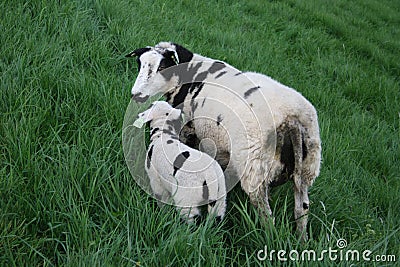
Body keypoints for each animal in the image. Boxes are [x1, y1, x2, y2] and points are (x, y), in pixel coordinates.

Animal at [126, 42, 322, 243]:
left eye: (162, 67)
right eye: (139, 64)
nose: (136, 95)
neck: (191, 76)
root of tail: (293, 119)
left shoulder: (190, 128)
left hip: (254, 167)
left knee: (267, 215)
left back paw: (269, 237)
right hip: (307, 168)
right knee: (301, 209)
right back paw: (301, 239)